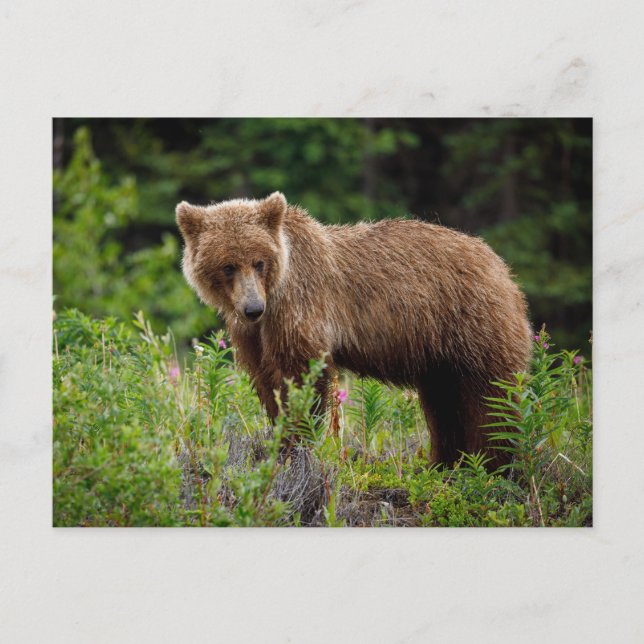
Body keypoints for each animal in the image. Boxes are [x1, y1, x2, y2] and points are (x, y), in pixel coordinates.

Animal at [176, 192, 532, 467]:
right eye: (228, 266)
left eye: (259, 261)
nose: (252, 308)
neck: (275, 292)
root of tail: (500, 265)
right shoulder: (251, 334)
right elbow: (266, 381)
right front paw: (278, 439)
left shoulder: (299, 307)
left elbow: (302, 373)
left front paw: (296, 444)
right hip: (438, 350)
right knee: (442, 403)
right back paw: (444, 463)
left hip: (474, 325)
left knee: (490, 397)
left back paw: (491, 464)